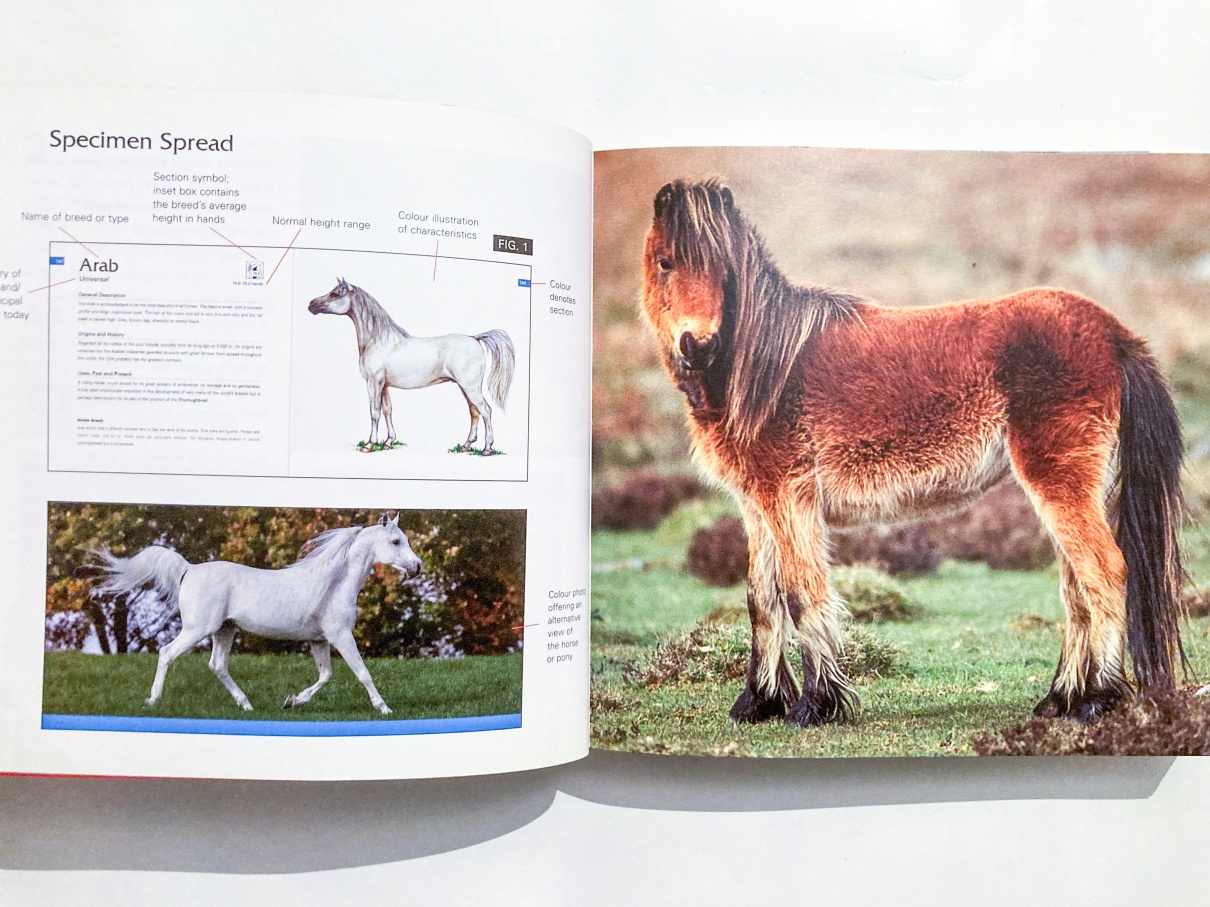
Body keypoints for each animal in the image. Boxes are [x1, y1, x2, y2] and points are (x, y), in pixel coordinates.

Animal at [90, 515, 423, 715]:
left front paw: (292, 700)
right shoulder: (341, 636)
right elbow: (362, 673)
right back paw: (153, 700)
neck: (335, 583)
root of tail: (189, 569)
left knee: (218, 665)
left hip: (224, 630)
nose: (417, 567)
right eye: (395, 541)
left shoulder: (319, 640)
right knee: (167, 653)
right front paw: (385, 709)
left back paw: (247, 705)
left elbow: (325, 675)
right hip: (199, 629)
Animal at [308, 278, 515, 453]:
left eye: (335, 293)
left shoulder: (374, 382)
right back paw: (466, 445)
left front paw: (369, 444)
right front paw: (389, 441)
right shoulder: (384, 385)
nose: (311, 304)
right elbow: (387, 410)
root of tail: (475, 338)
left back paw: (487, 448)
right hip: (465, 387)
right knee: (474, 412)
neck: (378, 340)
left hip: (470, 387)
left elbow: (374, 412)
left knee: (485, 411)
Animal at [641, 178, 1185, 726]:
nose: (699, 345)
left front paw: (816, 704)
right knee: (1076, 589)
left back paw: (1098, 699)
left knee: (1105, 574)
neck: (762, 367)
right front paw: (758, 701)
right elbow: (761, 598)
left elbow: (801, 593)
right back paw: (1061, 698)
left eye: (724, 270)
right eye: (665, 262)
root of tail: (1113, 333)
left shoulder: (789, 498)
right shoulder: (757, 504)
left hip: (1058, 481)